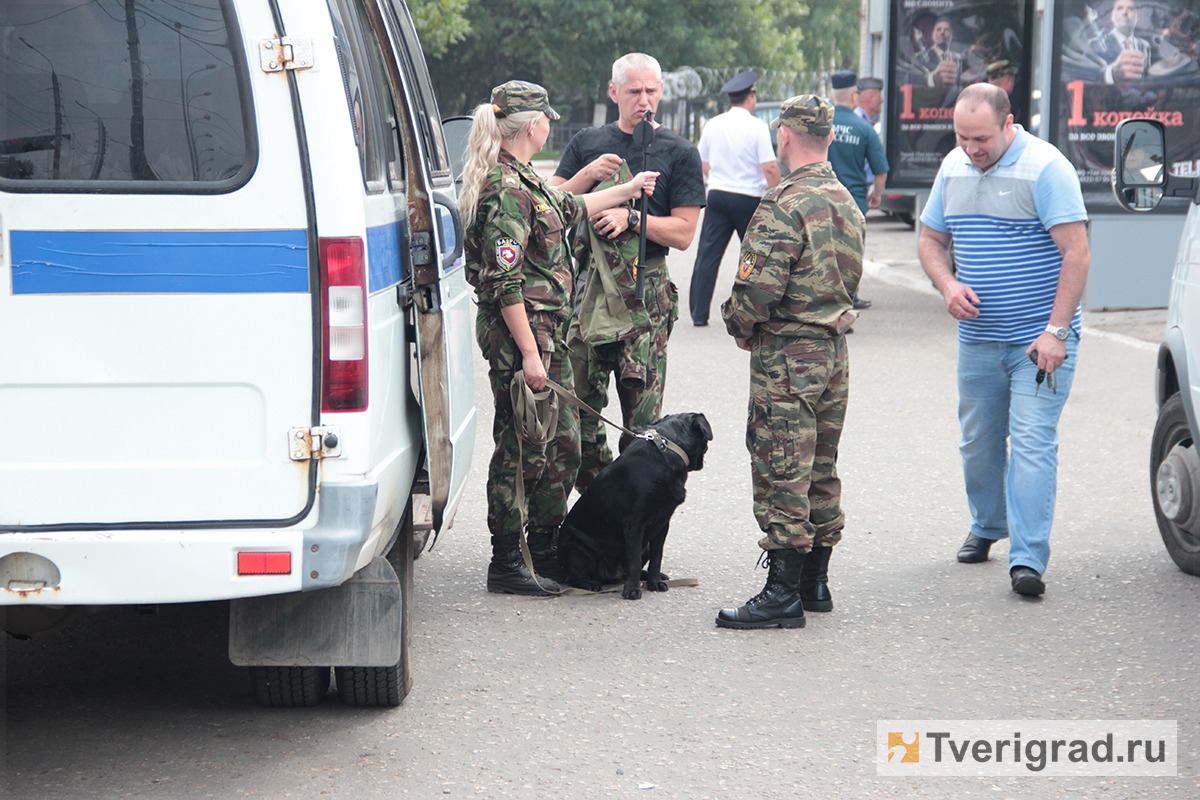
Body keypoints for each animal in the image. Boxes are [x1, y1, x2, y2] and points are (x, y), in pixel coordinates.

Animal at [559, 417, 715, 597]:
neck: (667, 447)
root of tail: (611, 576)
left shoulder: (662, 523)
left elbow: (657, 557)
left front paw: (654, 582)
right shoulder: (635, 523)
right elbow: (634, 559)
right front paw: (632, 589)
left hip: (644, 545)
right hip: (577, 549)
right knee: (576, 577)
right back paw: (590, 583)